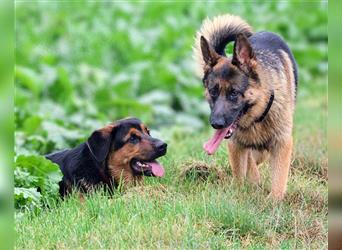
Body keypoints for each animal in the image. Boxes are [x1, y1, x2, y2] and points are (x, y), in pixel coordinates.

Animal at [194, 14, 298, 200]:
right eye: (213, 92)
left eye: (234, 93)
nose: (216, 124)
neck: (257, 118)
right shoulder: (235, 144)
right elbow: (240, 174)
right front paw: (243, 189)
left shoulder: (282, 143)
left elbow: (279, 179)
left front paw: (273, 201)